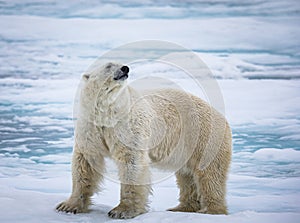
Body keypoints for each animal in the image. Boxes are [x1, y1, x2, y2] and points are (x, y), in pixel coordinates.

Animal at [56, 61, 234, 219]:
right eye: (108, 65)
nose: (125, 68)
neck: (107, 113)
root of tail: (222, 117)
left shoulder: (128, 126)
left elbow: (131, 162)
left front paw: (122, 211)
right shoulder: (91, 126)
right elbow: (86, 161)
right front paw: (68, 206)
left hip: (203, 136)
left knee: (210, 174)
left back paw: (212, 210)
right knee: (187, 175)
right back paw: (182, 207)